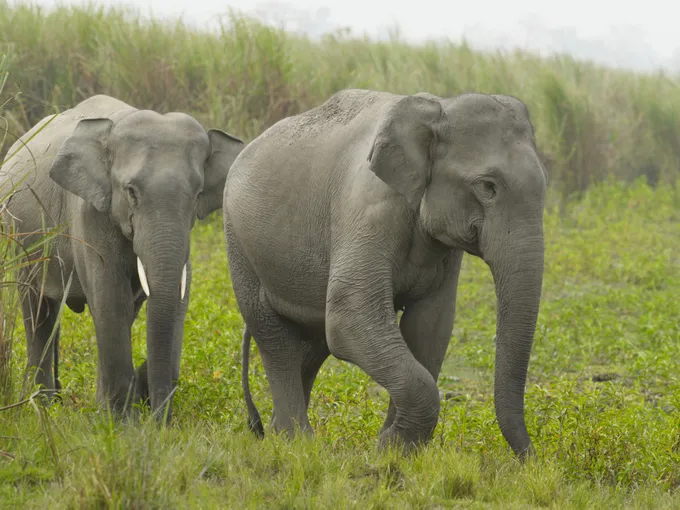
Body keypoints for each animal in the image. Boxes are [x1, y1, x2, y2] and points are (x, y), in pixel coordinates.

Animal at [0, 94, 244, 421]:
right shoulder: (89, 213)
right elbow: (110, 299)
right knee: (38, 312)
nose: (158, 420)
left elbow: (159, 298)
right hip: (22, 239)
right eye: (131, 191)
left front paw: (116, 410)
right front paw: (120, 421)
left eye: (197, 194)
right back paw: (43, 405)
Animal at [225, 89, 547, 459]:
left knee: (313, 341)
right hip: (239, 243)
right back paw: (295, 441)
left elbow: (430, 326)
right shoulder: (369, 210)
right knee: (273, 335)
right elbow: (351, 316)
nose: (531, 460)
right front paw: (391, 447)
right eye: (487, 186)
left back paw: (281, 433)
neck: (439, 109)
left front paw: (395, 449)